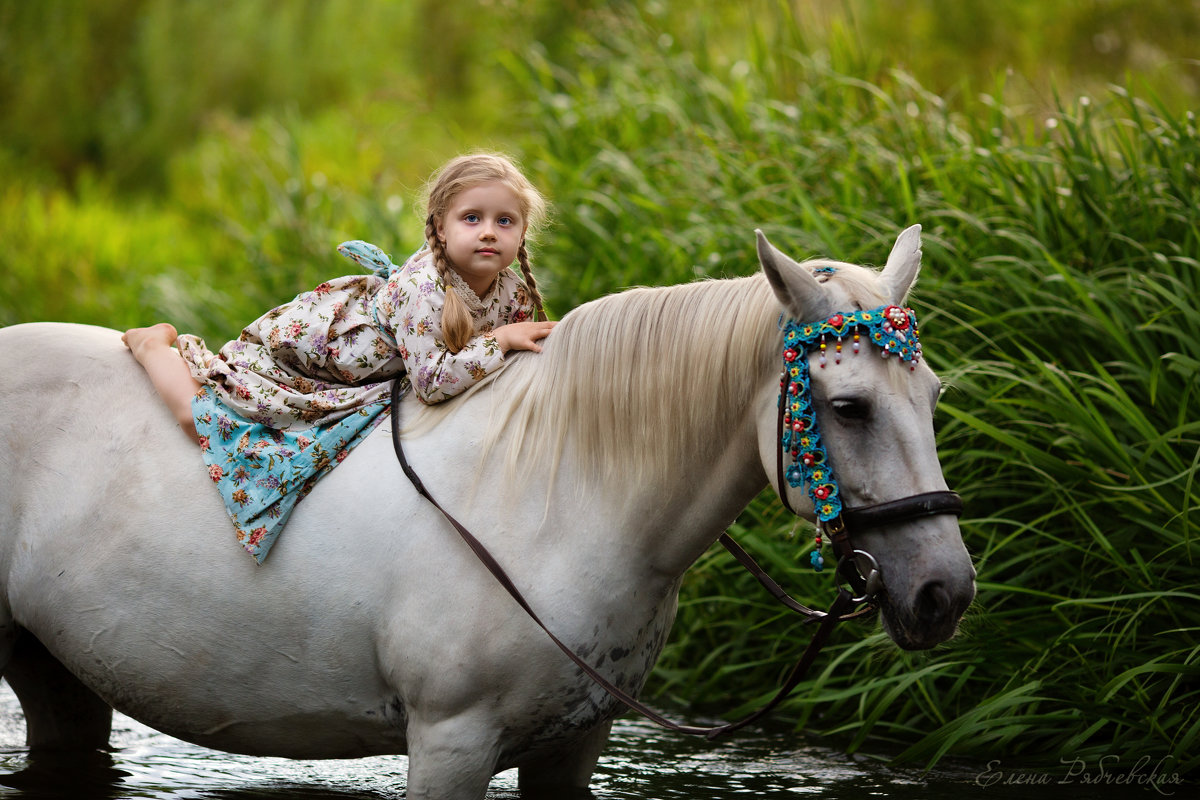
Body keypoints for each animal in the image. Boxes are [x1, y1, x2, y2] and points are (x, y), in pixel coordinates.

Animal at [0, 226, 974, 800]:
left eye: (931, 395)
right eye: (847, 407)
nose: (945, 593)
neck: (560, 499)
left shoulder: (574, 746)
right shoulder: (450, 743)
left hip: (54, 670)